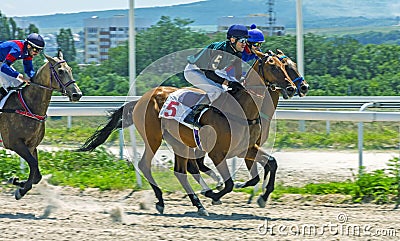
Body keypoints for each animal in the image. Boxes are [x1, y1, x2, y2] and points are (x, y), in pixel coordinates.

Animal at [0, 50, 82, 200]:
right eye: (60, 71)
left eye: (70, 69)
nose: (77, 94)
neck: (29, 107)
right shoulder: (15, 143)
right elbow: (33, 164)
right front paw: (21, 189)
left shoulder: (31, 145)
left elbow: (37, 175)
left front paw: (17, 182)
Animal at [79, 51, 296, 217]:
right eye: (274, 67)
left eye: (285, 66)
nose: (294, 87)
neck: (243, 110)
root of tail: (140, 100)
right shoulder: (218, 152)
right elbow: (229, 184)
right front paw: (214, 195)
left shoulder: (246, 147)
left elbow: (270, 164)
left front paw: (262, 197)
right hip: (154, 138)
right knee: (146, 165)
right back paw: (163, 201)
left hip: (179, 143)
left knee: (181, 171)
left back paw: (197, 204)